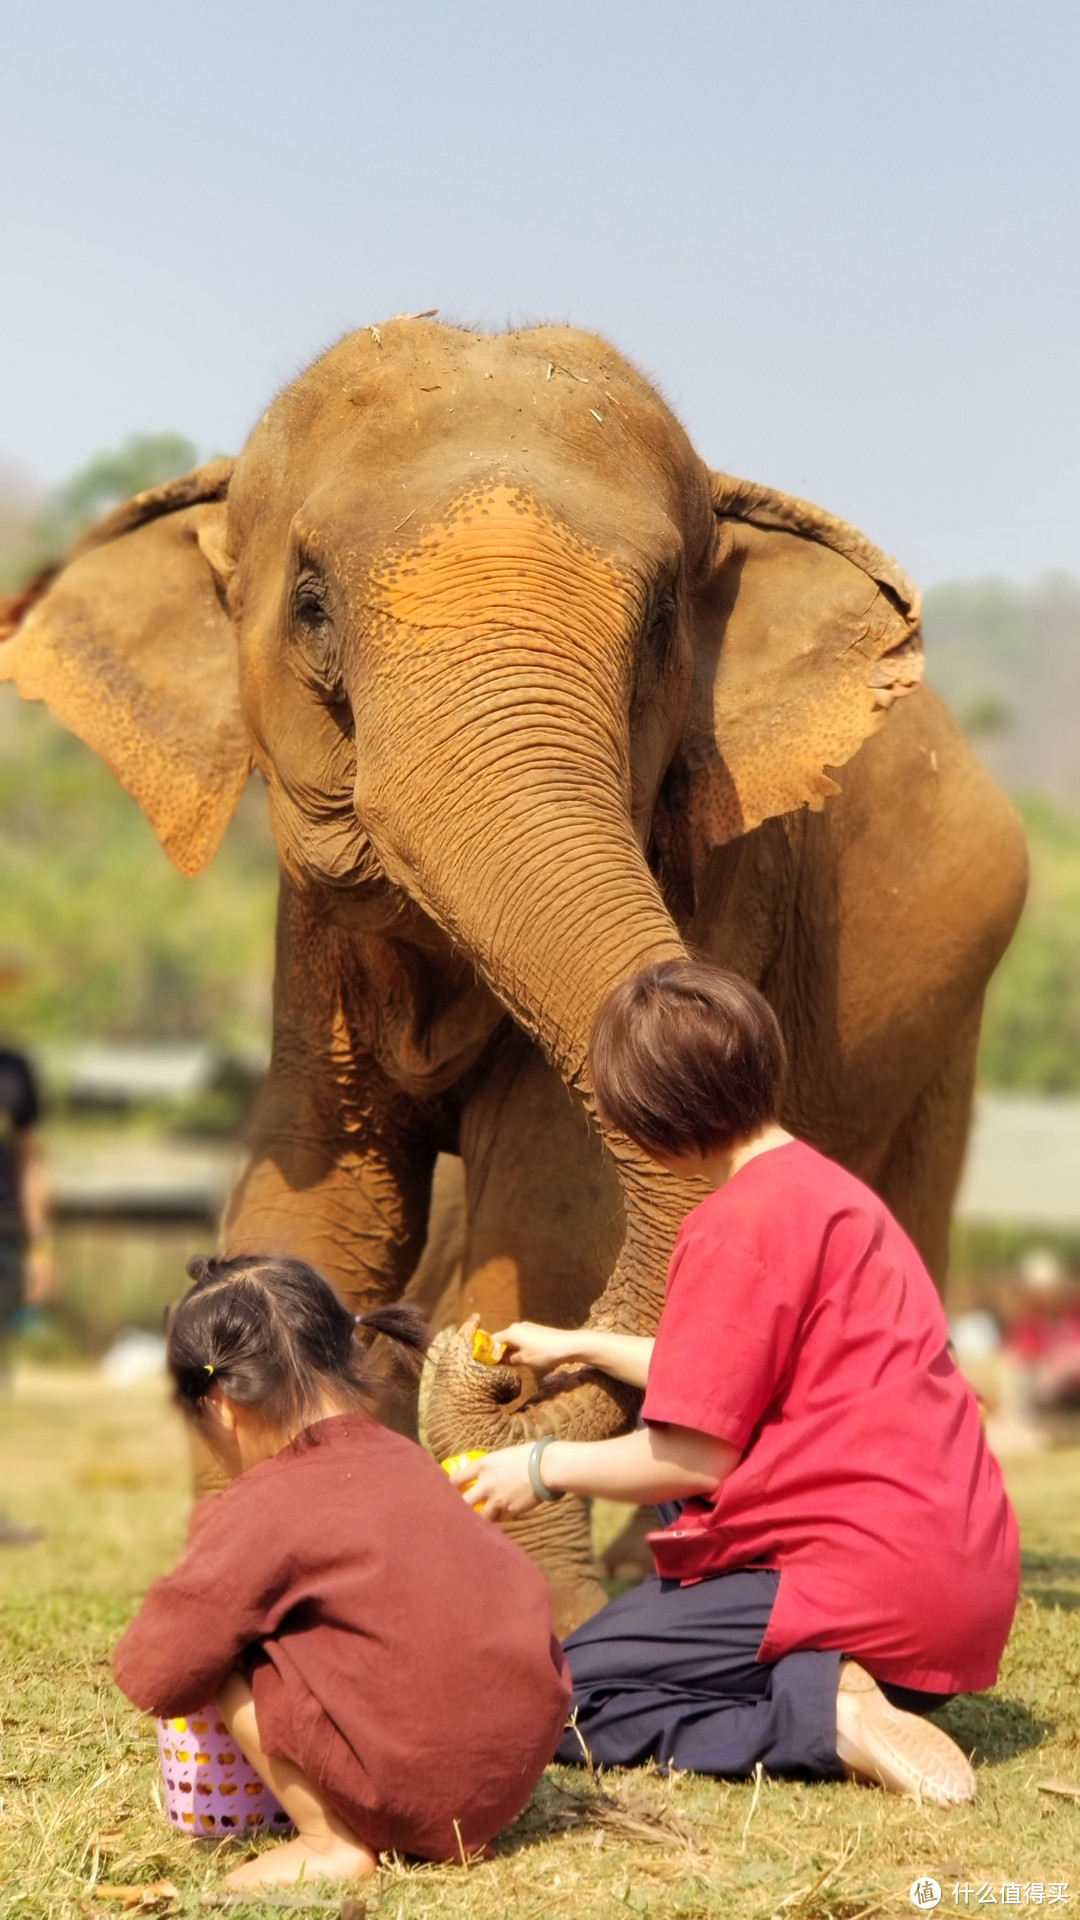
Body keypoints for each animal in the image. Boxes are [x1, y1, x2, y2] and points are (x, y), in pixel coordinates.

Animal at [2, 318, 1022, 1635]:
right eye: (313, 606)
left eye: (661, 626)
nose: (483, 1368)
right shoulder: (311, 948)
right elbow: (324, 1192)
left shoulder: (711, 869)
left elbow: (553, 1204)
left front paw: (540, 1601)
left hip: (953, 1022)